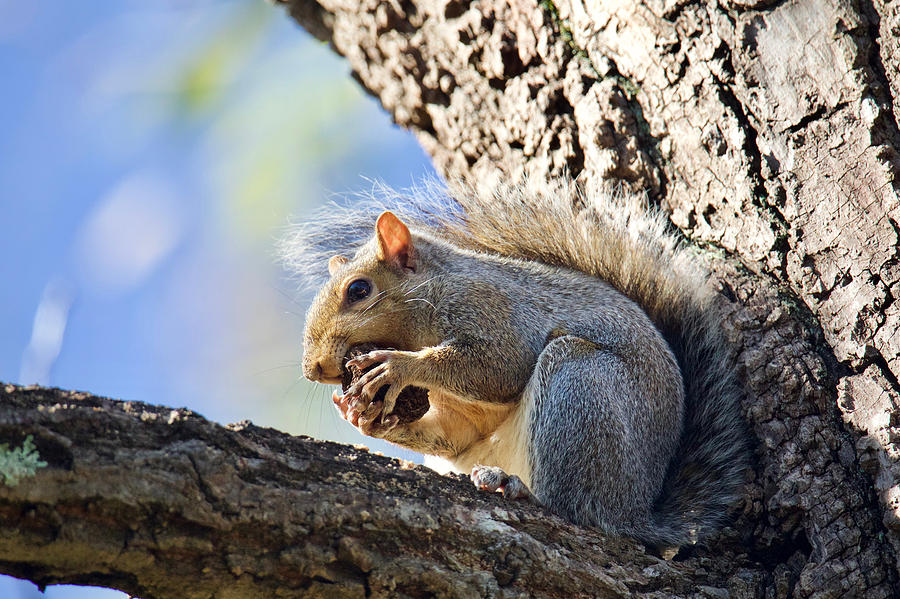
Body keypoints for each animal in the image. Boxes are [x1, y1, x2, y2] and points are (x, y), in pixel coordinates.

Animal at [284, 178, 748, 548]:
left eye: (358, 290)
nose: (313, 369)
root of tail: (638, 512)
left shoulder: (493, 309)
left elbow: (499, 367)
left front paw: (398, 366)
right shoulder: (457, 418)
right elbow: (455, 431)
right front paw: (361, 416)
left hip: (579, 387)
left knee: (578, 510)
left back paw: (523, 490)